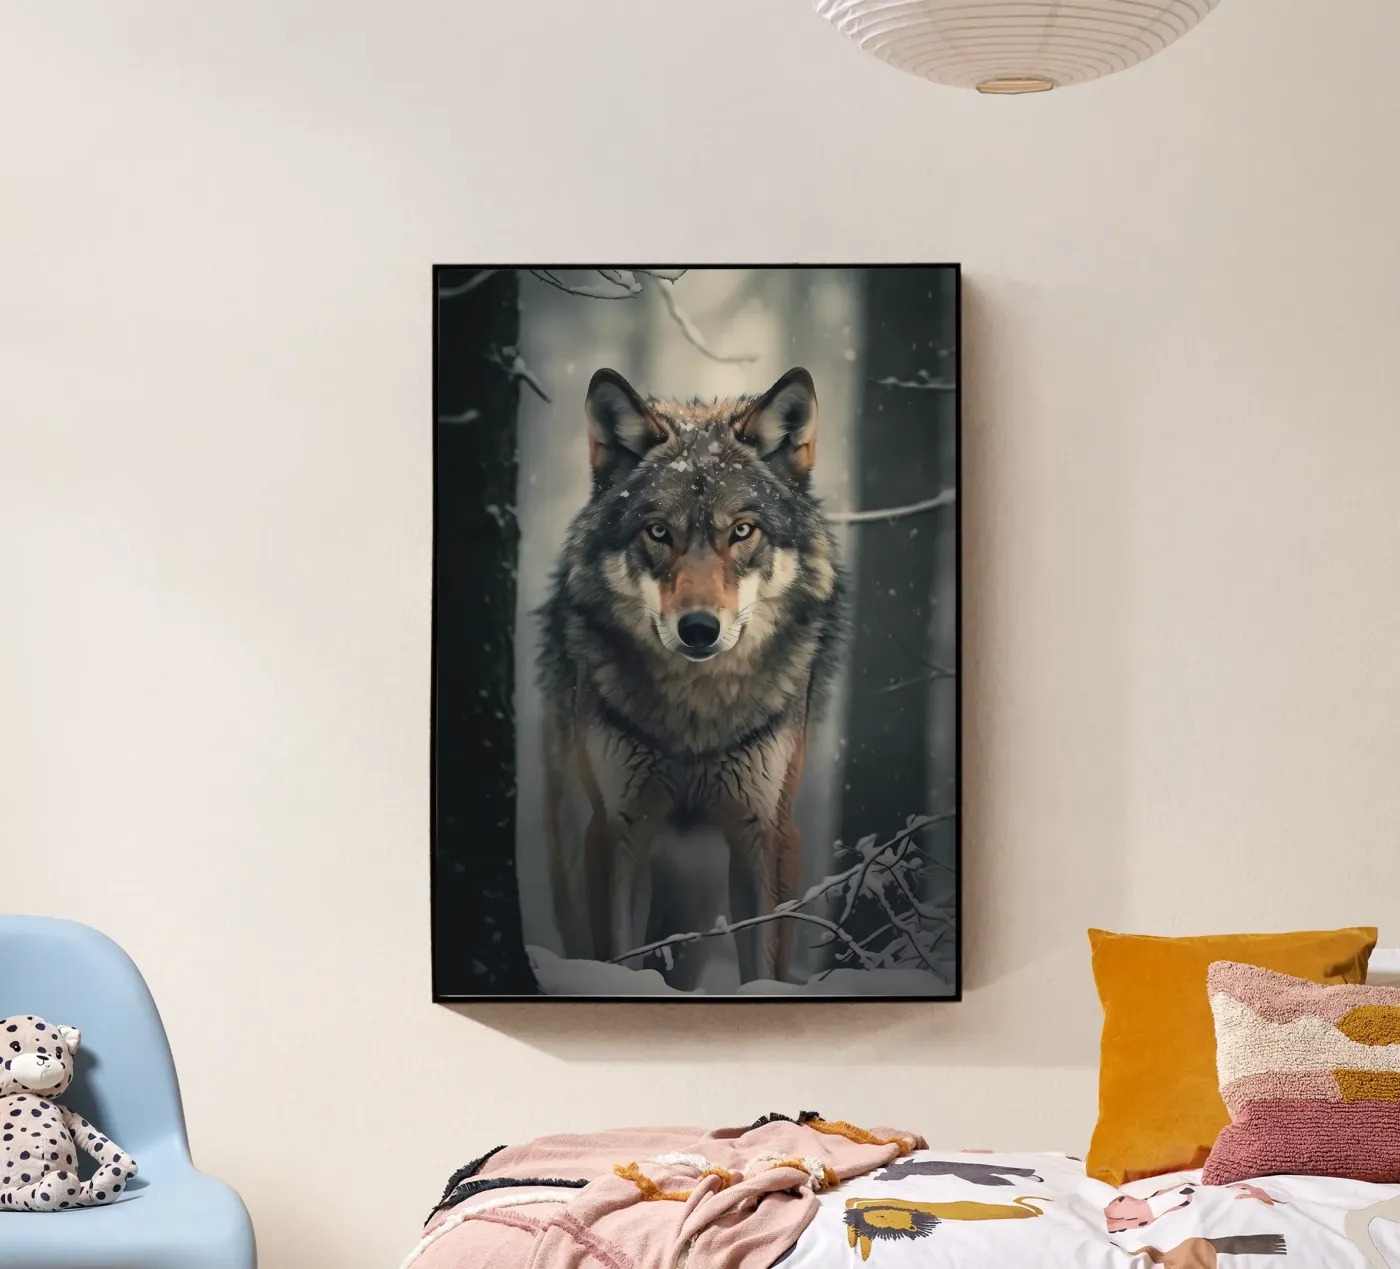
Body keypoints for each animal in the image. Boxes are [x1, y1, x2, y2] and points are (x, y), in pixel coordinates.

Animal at [537, 366, 845, 985]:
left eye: (743, 531)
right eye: (658, 532)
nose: (699, 629)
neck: (695, 715)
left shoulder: (768, 830)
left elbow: (765, 967)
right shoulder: (614, 830)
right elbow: (618, 956)